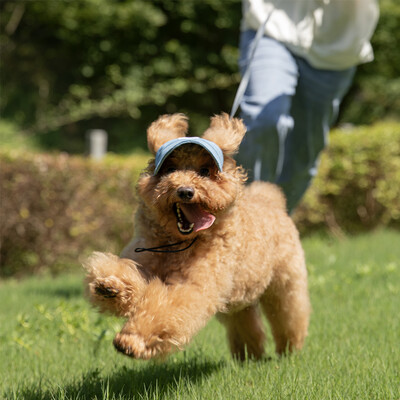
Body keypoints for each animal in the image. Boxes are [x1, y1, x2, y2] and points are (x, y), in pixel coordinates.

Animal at [83, 111, 310, 360]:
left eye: (204, 172)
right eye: (170, 169)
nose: (185, 191)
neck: (177, 243)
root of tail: (270, 199)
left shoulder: (195, 285)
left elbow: (167, 308)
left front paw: (133, 340)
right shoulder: (145, 258)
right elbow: (126, 275)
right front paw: (111, 287)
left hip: (285, 282)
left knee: (289, 315)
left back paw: (290, 350)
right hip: (235, 296)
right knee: (244, 319)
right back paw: (248, 355)